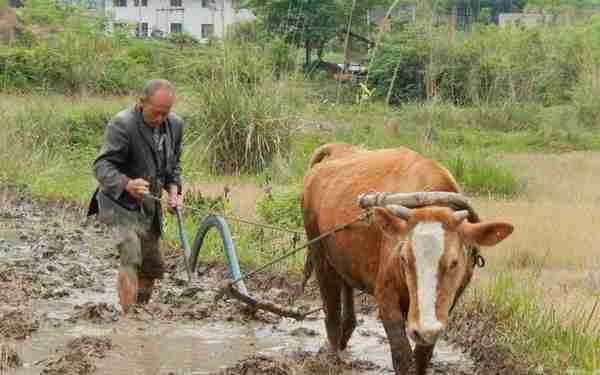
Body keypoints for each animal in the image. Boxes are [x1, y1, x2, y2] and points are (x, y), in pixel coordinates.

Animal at [302, 142, 512, 374]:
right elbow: (402, 355)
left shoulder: (448, 304)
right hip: (318, 251)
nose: (423, 329)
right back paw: (331, 358)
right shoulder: (386, 297)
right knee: (331, 311)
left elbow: (422, 356)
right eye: (403, 258)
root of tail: (336, 149)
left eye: (454, 263)